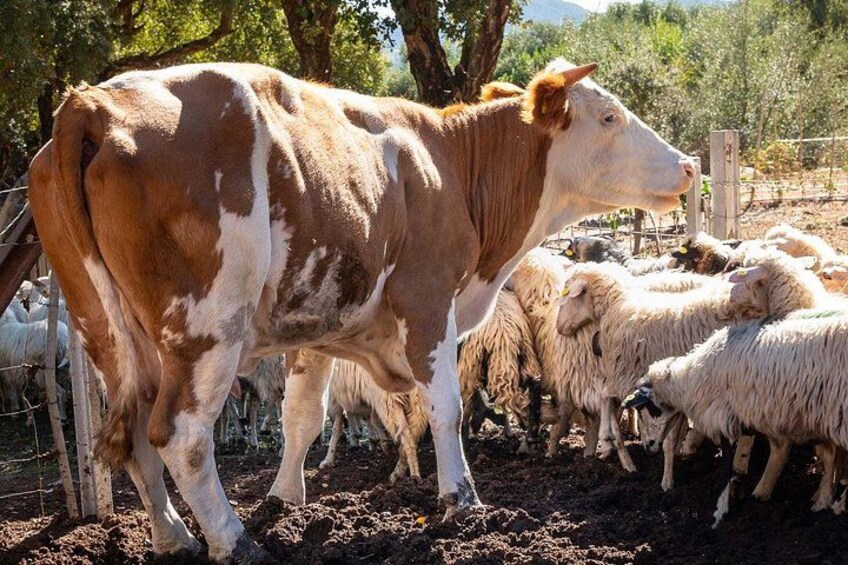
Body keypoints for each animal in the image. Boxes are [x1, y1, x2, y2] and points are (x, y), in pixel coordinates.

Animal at [28, 59, 695, 562]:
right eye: (609, 117)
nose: (688, 165)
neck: (451, 165)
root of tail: (93, 102)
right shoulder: (428, 301)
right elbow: (445, 408)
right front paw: (462, 501)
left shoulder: (316, 329)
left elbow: (303, 416)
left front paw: (286, 500)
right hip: (205, 331)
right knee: (180, 435)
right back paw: (233, 542)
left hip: (107, 333)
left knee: (135, 436)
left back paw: (174, 539)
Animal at [630, 314, 848, 526]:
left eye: (645, 409)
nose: (647, 447)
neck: (689, 378)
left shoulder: (722, 417)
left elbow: (726, 467)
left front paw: (719, 512)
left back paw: (838, 504)